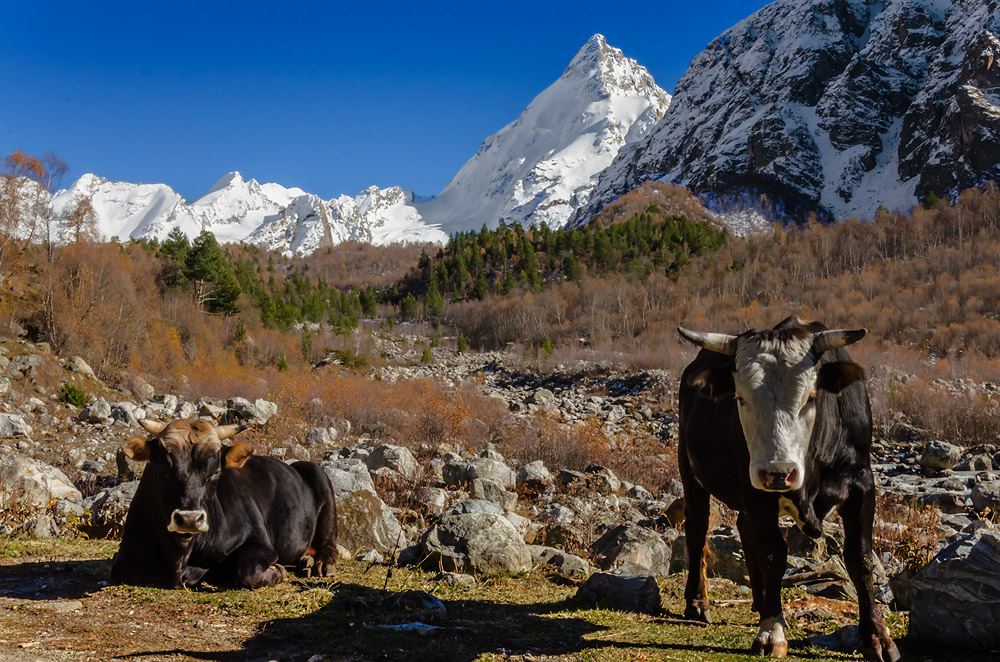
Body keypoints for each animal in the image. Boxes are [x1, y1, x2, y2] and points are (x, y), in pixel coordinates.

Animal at [108, 420, 336, 592]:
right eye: (163, 469)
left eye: (216, 472)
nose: (189, 519)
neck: (180, 555)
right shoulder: (127, 553)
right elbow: (121, 569)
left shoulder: (259, 541)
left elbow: (249, 571)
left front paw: (279, 570)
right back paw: (305, 561)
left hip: (321, 480)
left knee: (329, 543)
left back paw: (322, 564)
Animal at [680, 316, 900, 662]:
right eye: (740, 398)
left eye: (810, 397)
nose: (778, 472)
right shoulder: (756, 491)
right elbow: (773, 555)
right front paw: (772, 631)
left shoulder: (862, 484)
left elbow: (861, 557)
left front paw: (877, 636)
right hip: (691, 472)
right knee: (698, 528)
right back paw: (698, 603)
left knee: (743, 529)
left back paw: (759, 601)